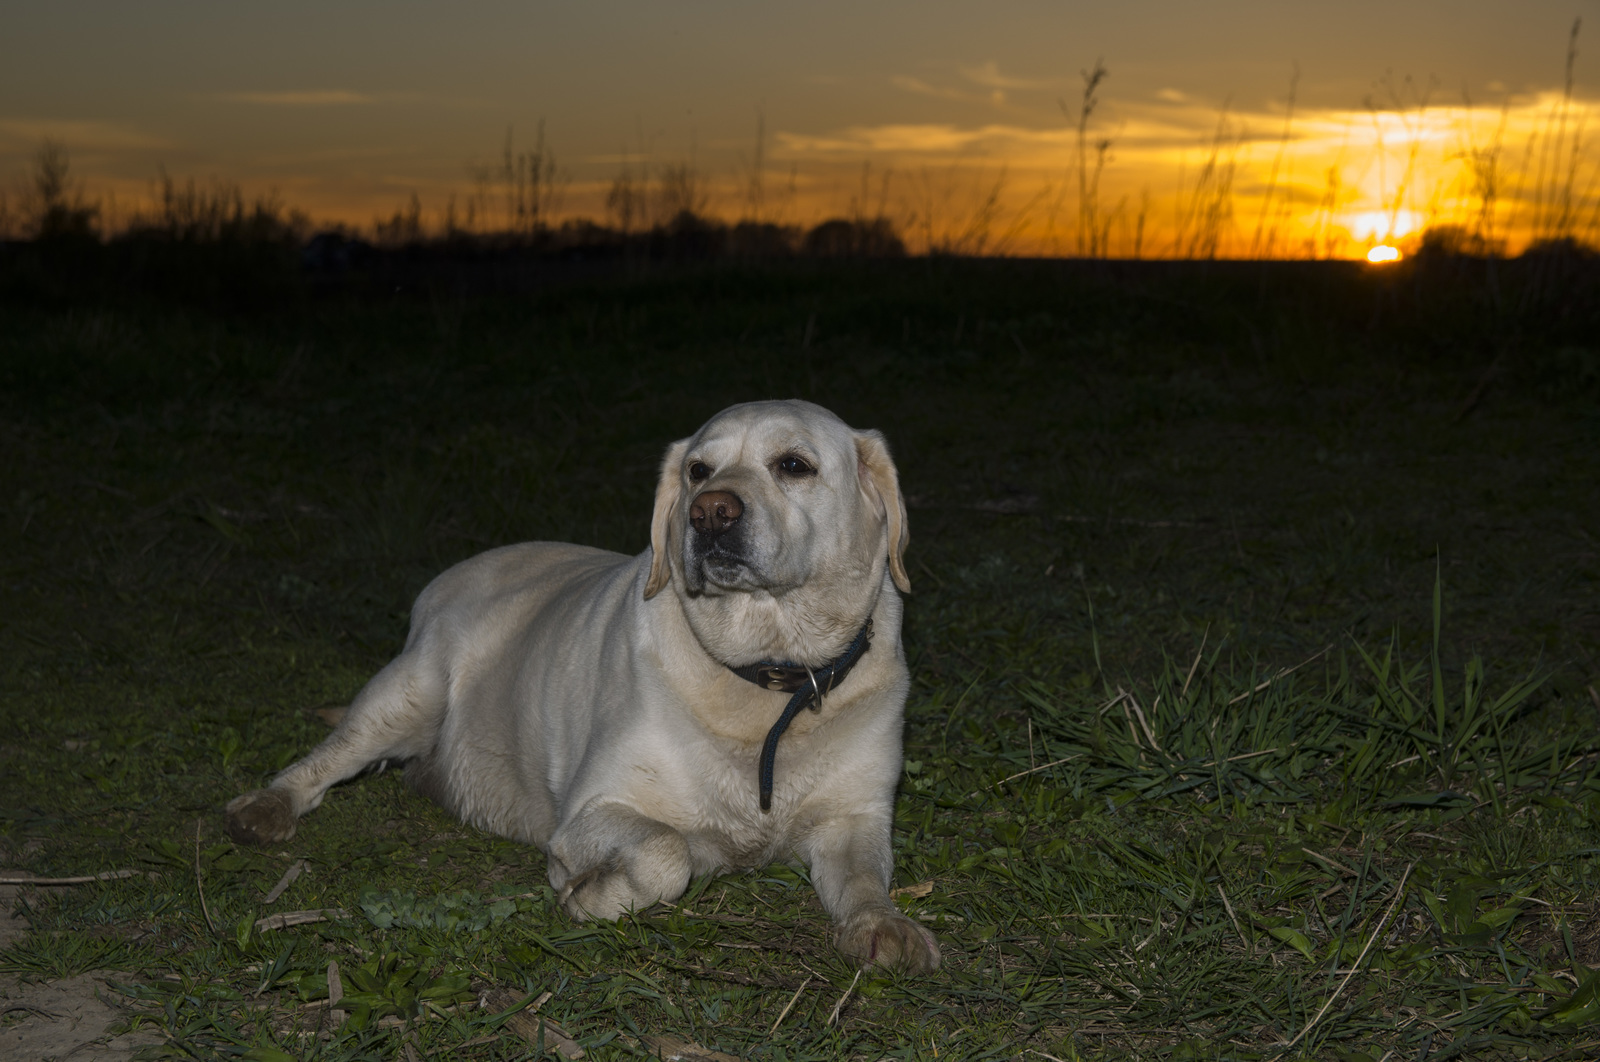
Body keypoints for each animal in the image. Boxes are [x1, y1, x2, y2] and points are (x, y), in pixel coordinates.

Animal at [232, 398, 940, 972]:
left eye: (794, 465)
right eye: (698, 470)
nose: (709, 512)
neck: (767, 680)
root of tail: (454, 572)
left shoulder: (857, 817)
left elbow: (867, 880)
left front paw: (885, 925)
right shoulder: (593, 809)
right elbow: (666, 853)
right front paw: (593, 892)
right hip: (407, 694)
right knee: (323, 761)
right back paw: (265, 808)